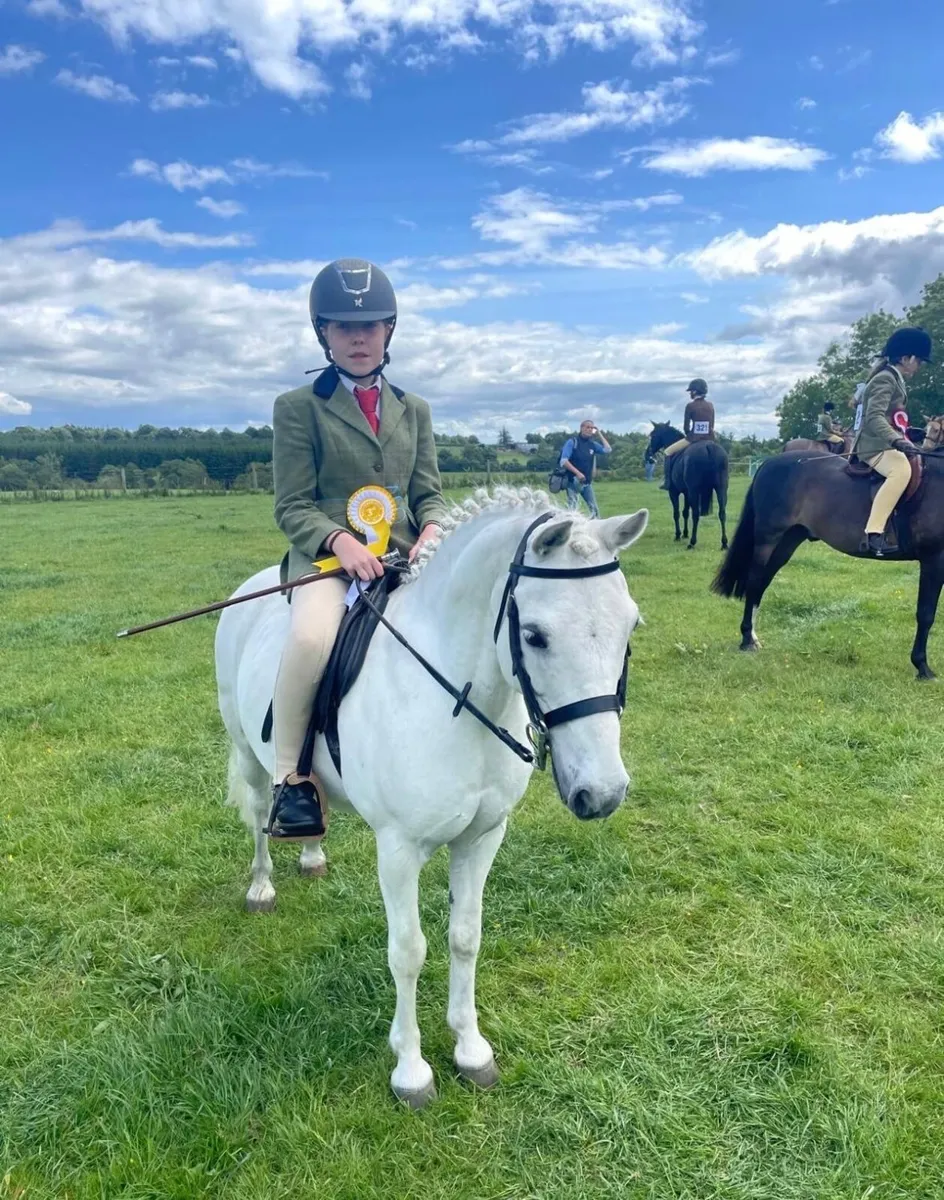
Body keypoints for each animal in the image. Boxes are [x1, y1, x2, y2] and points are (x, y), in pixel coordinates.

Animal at [215, 488, 649, 1107]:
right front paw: (412, 1070)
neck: (461, 698)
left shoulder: (482, 838)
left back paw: (313, 854)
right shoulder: (399, 849)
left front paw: (471, 1050)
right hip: (248, 754)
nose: (604, 792)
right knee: (257, 816)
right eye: (535, 635)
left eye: (630, 625)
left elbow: (465, 937)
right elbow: (409, 950)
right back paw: (261, 887)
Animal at [712, 416, 944, 679]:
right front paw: (922, 666)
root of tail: (770, 462)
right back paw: (746, 640)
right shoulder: (934, 559)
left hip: (788, 541)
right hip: (768, 539)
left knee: (762, 583)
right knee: (753, 582)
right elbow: (926, 613)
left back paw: (751, 636)